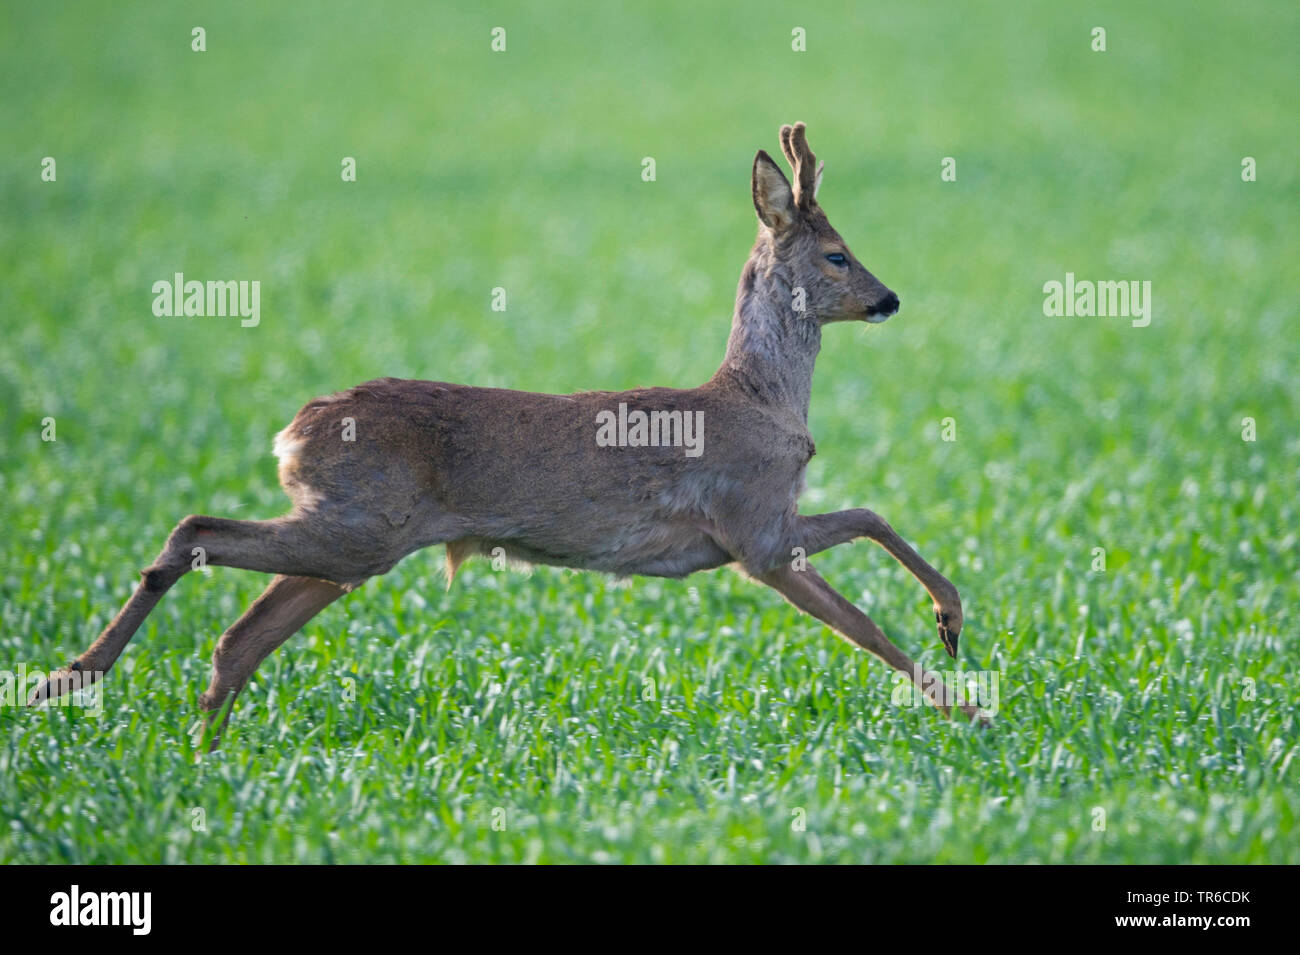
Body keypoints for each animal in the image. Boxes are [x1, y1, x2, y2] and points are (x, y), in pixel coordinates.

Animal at [30, 121, 977, 748]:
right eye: (838, 255)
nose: (889, 298)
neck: (763, 399)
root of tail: (290, 432)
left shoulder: (759, 528)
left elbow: (871, 519)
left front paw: (953, 624)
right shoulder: (756, 532)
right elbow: (865, 621)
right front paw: (967, 702)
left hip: (352, 544)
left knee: (238, 634)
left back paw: (201, 748)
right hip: (359, 525)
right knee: (196, 534)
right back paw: (71, 678)